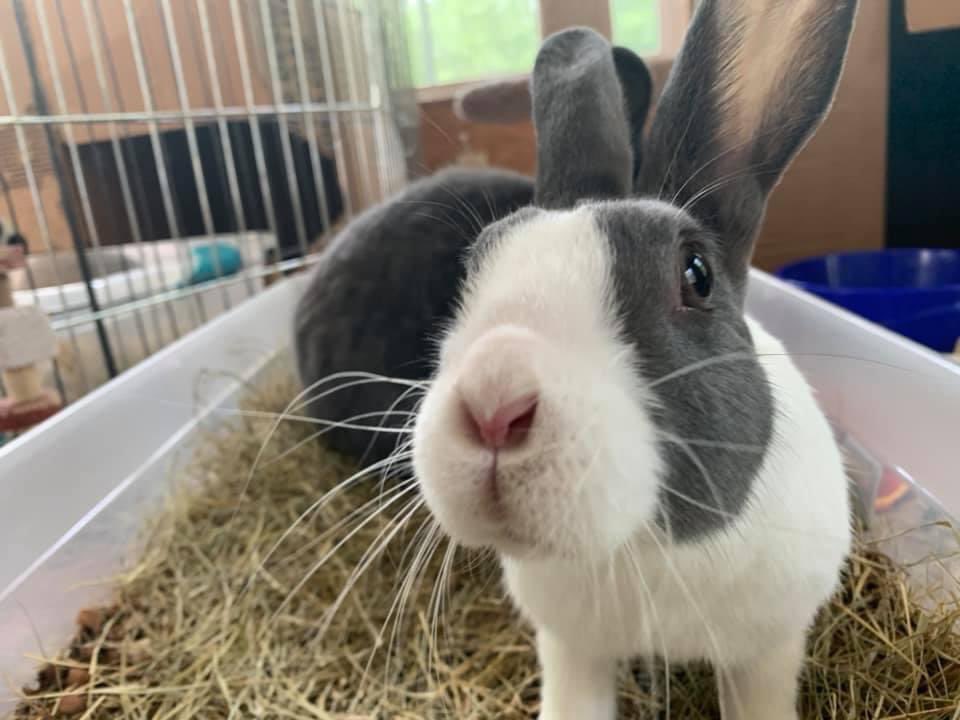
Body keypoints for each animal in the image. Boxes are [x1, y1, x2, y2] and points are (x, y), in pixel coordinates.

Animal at [411, 1, 858, 718]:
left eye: (696, 274)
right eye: (473, 266)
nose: (493, 405)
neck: (641, 549)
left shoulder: (769, 649)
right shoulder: (570, 647)